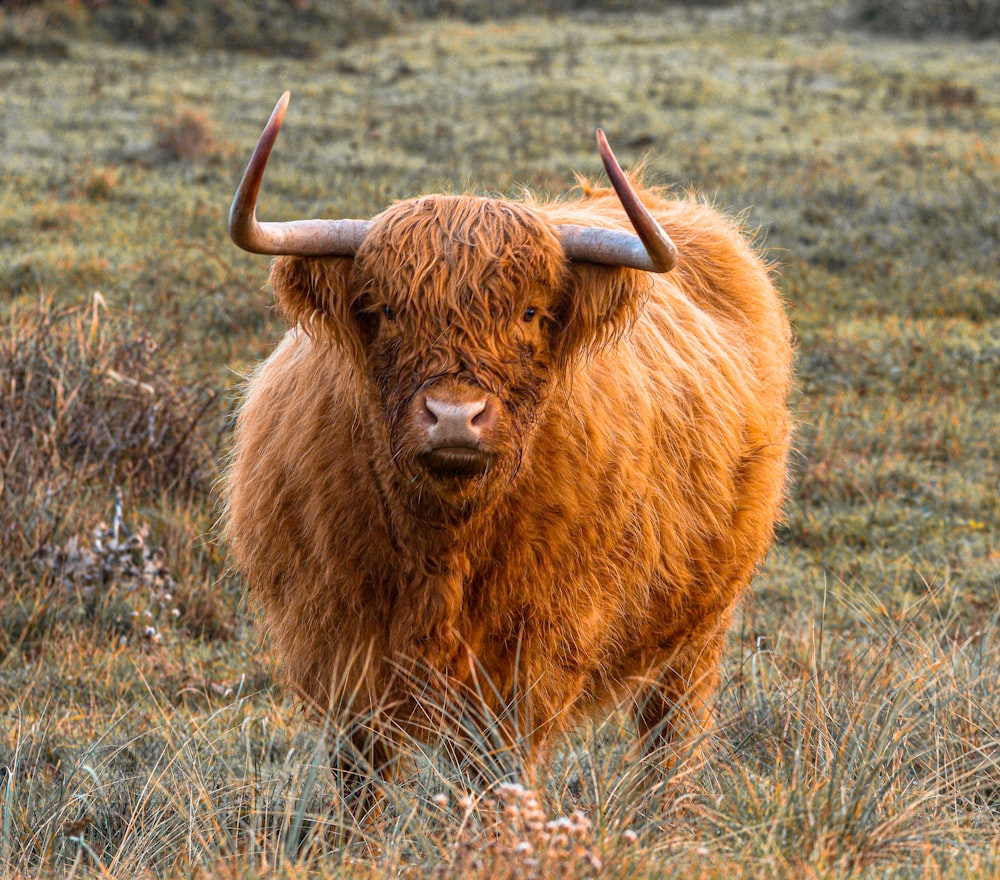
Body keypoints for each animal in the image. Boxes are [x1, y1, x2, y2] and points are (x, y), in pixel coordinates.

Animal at [223, 94, 792, 784]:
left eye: (529, 313)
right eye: (387, 311)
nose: (453, 416)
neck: (444, 541)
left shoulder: (526, 663)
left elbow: (497, 780)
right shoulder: (341, 658)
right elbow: (362, 781)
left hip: (700, 626)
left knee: (670, 737)